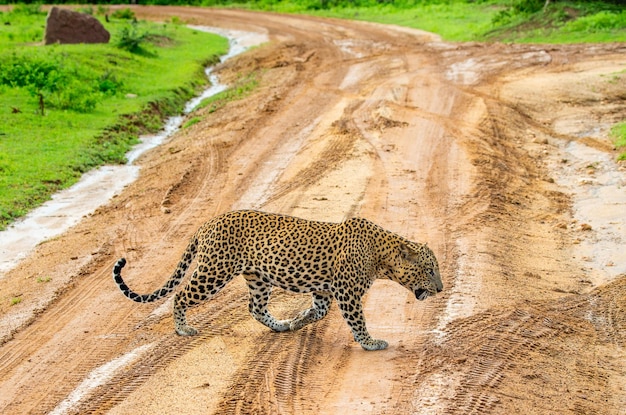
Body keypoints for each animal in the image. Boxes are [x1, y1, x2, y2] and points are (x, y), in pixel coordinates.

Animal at [113, 211, 444, 352]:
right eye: (430, 271)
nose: (441, 288)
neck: (382, 256)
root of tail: (208, 222)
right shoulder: (346, 292)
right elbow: (357, 320)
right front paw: (370, 342)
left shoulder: (324, 290)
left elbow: (317, 312)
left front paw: (296, 321)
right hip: (215, 271)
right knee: (180, 295)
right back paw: (183, 328)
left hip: (258, 278)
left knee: (255, 308)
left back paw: (281, 325)